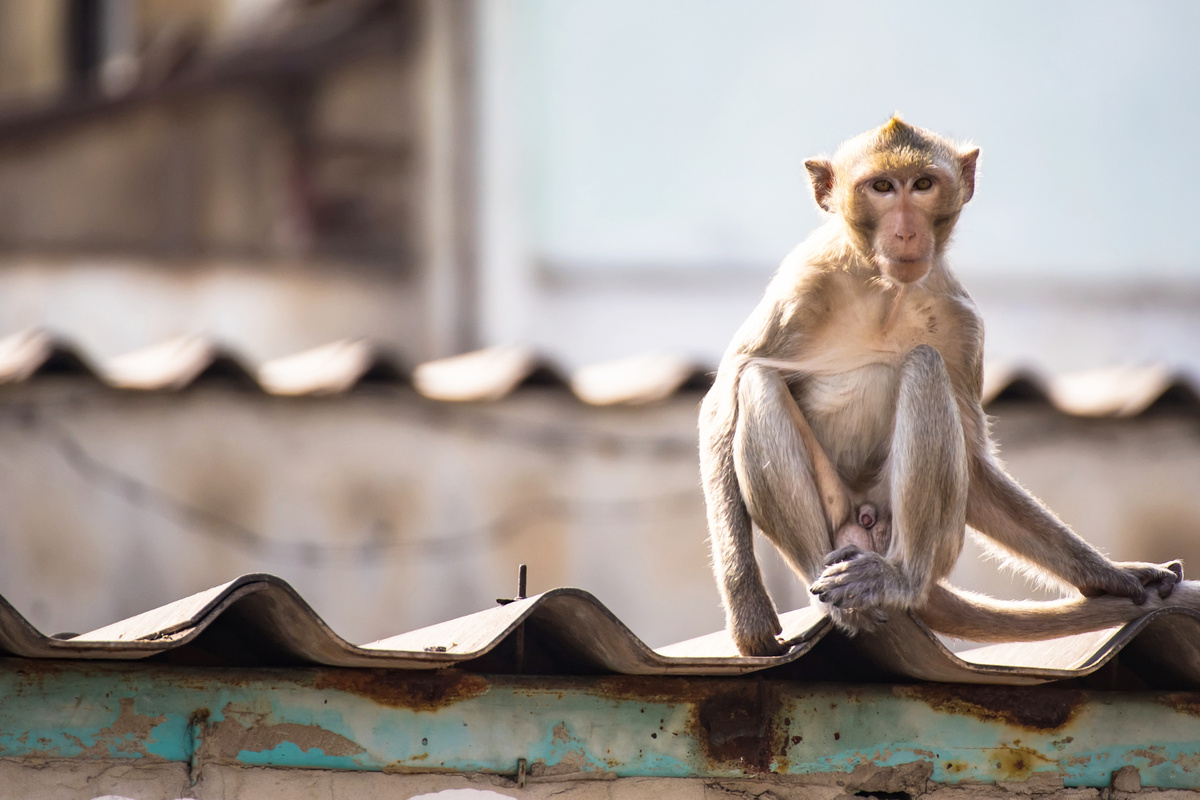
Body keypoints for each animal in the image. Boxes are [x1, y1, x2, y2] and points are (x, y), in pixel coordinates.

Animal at [700, 117, 1185, 657]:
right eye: (882, 187)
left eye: (923, 185)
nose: (906, 230)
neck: (886, 290)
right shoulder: (801, 286)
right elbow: (724, 398)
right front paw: (747, 608)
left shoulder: (962, 323)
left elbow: (973, 460)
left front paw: (1113, 574)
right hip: (837, 524)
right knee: (757, 382)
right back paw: (832, 588)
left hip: (932, 538)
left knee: (925, 367)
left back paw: (898, 581)